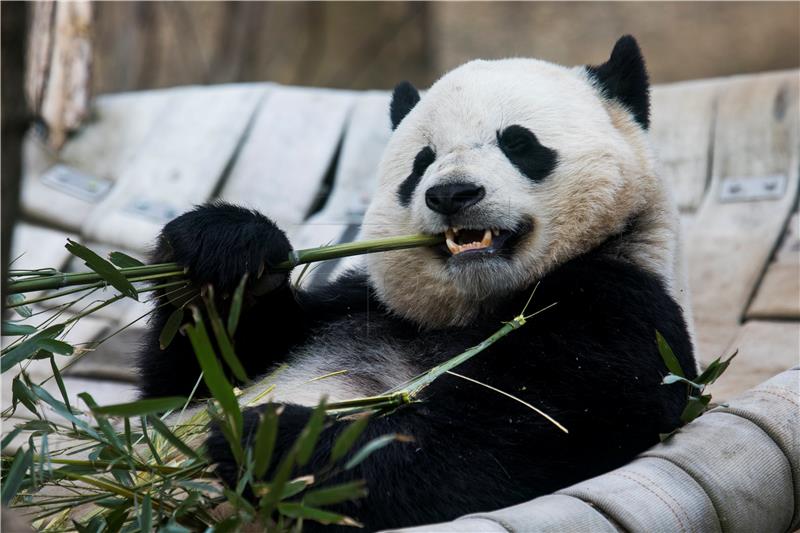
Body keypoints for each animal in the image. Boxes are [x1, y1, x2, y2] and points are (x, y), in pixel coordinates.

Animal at [141, 34, 696, 532]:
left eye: (519, 143)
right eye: (422, 161)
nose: (452, 194)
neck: (476, 302)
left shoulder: (619, 312)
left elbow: (496, 444)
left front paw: (271, 436)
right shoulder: (358, 304)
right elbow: (188, 385)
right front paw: (226, 252)